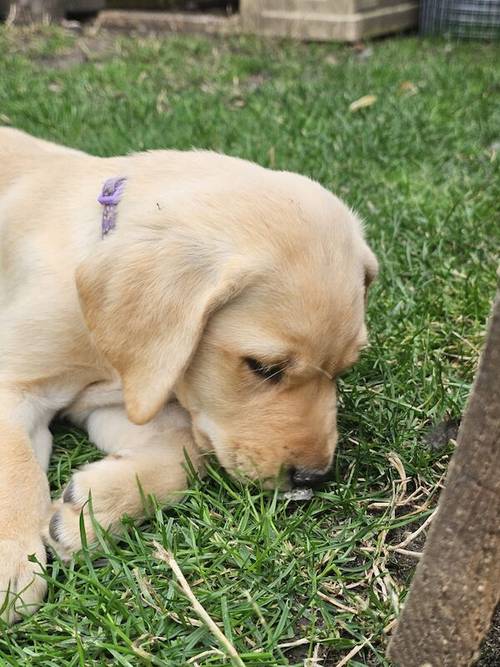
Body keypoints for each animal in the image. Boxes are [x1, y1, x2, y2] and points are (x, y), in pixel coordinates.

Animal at [0, 128, 376, 624]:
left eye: (344, 370)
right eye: (263, 367)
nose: (314, 479)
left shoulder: (128, 396)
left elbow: (190, 452)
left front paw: (94, 511)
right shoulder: (14, 381)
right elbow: (15, 469)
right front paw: (10, 560)